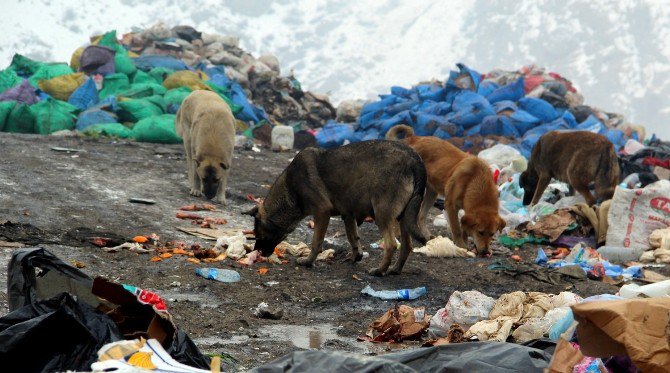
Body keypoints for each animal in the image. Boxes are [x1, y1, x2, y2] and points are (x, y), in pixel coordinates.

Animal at [244, 139, 428, 274]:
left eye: (258, 233)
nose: (257, 251)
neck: (290, 189)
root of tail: (415, 159)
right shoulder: (348, 215)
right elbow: (353, 238)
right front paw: (356, 257)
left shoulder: (322, 212)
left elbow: (316, 242)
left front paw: (308, 261)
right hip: (404, 217)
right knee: (407, 245)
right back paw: (395, 269)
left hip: (382, 214)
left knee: (391, 245)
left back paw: (379, 271)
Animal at [386, 123, 506, 254]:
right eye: (481, 232)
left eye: (492, 234)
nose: (485, 252)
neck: (475, 180)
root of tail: (412, 139)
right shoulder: (450, 206)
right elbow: (456, 228)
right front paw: (461, 245)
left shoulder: (466, 211)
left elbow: (464, 228)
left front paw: (465, 242)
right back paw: (398, 234)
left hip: (431, 193)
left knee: (420, 217)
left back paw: (426, 236)